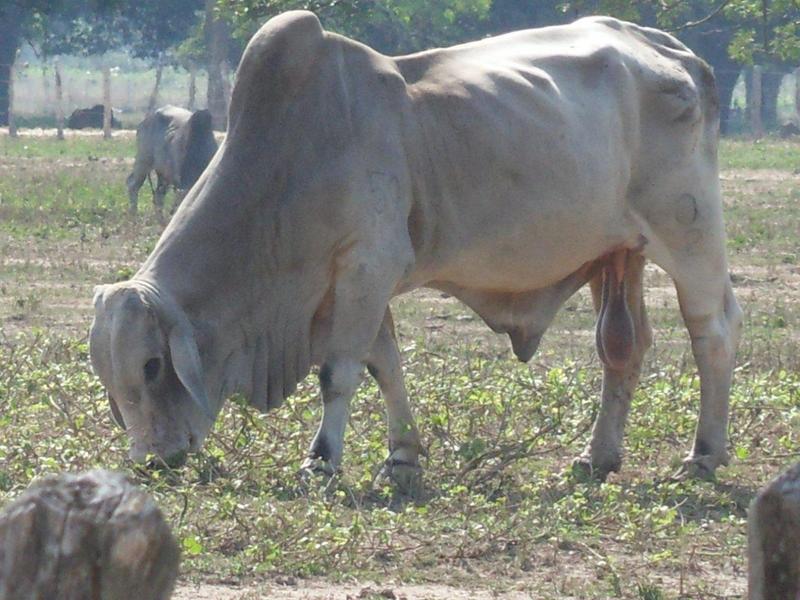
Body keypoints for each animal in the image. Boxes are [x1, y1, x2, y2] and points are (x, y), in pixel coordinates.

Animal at [89, 12, 744, 492]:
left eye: (152, 365)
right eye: (108, 375)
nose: (152, 461)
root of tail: (675, 52)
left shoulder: (367, 264)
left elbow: (339, 371)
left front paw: (321, 461)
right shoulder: (359, 279)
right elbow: (385, 364)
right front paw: (402, 457)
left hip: (688, 233)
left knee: (712, 330)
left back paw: (704, 455)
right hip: (618, 252)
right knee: (621, 348)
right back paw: (597, 457)